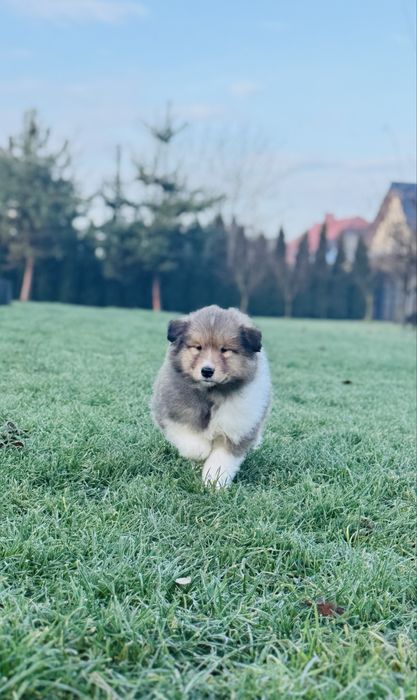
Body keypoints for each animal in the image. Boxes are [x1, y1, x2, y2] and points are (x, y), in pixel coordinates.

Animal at [151, 305, 271, 487]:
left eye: (225, 350)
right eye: (198, 347)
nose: (207, 371)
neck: (212, 393)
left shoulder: (236, 428)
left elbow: (221, 460)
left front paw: (214, 482)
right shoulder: (171, 412)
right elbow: (191, 440)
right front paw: (201, 451)